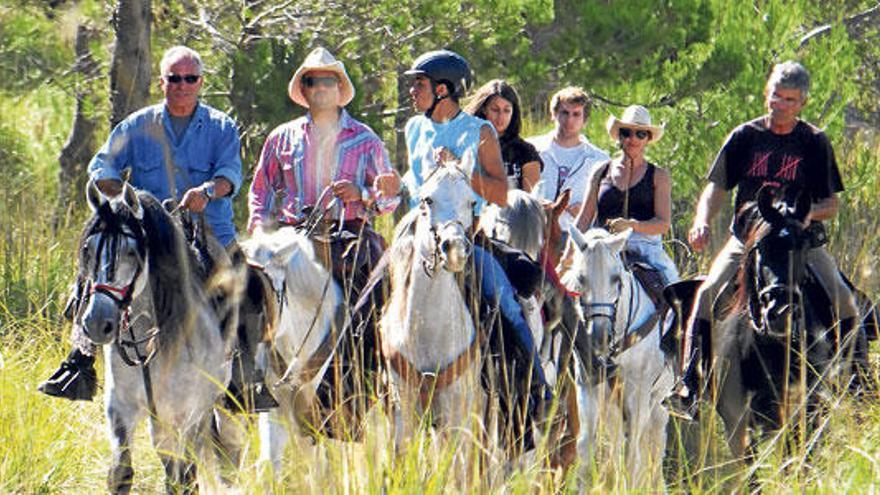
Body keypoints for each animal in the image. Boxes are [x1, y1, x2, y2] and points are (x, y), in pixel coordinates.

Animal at [75, 183, 239, 495]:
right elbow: (121, 472)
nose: (97, 324)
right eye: (88, 249)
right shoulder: (120, 409)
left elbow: (183, 478)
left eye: (131, 252)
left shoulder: (186, 414)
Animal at [556, 228, 672, 488]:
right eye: (581, 279)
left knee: (654, 433)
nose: (599, 336)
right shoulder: (588, 387)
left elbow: (632, 456)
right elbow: (586, 446)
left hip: (652, 397)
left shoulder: (637, 394)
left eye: (616, 279)